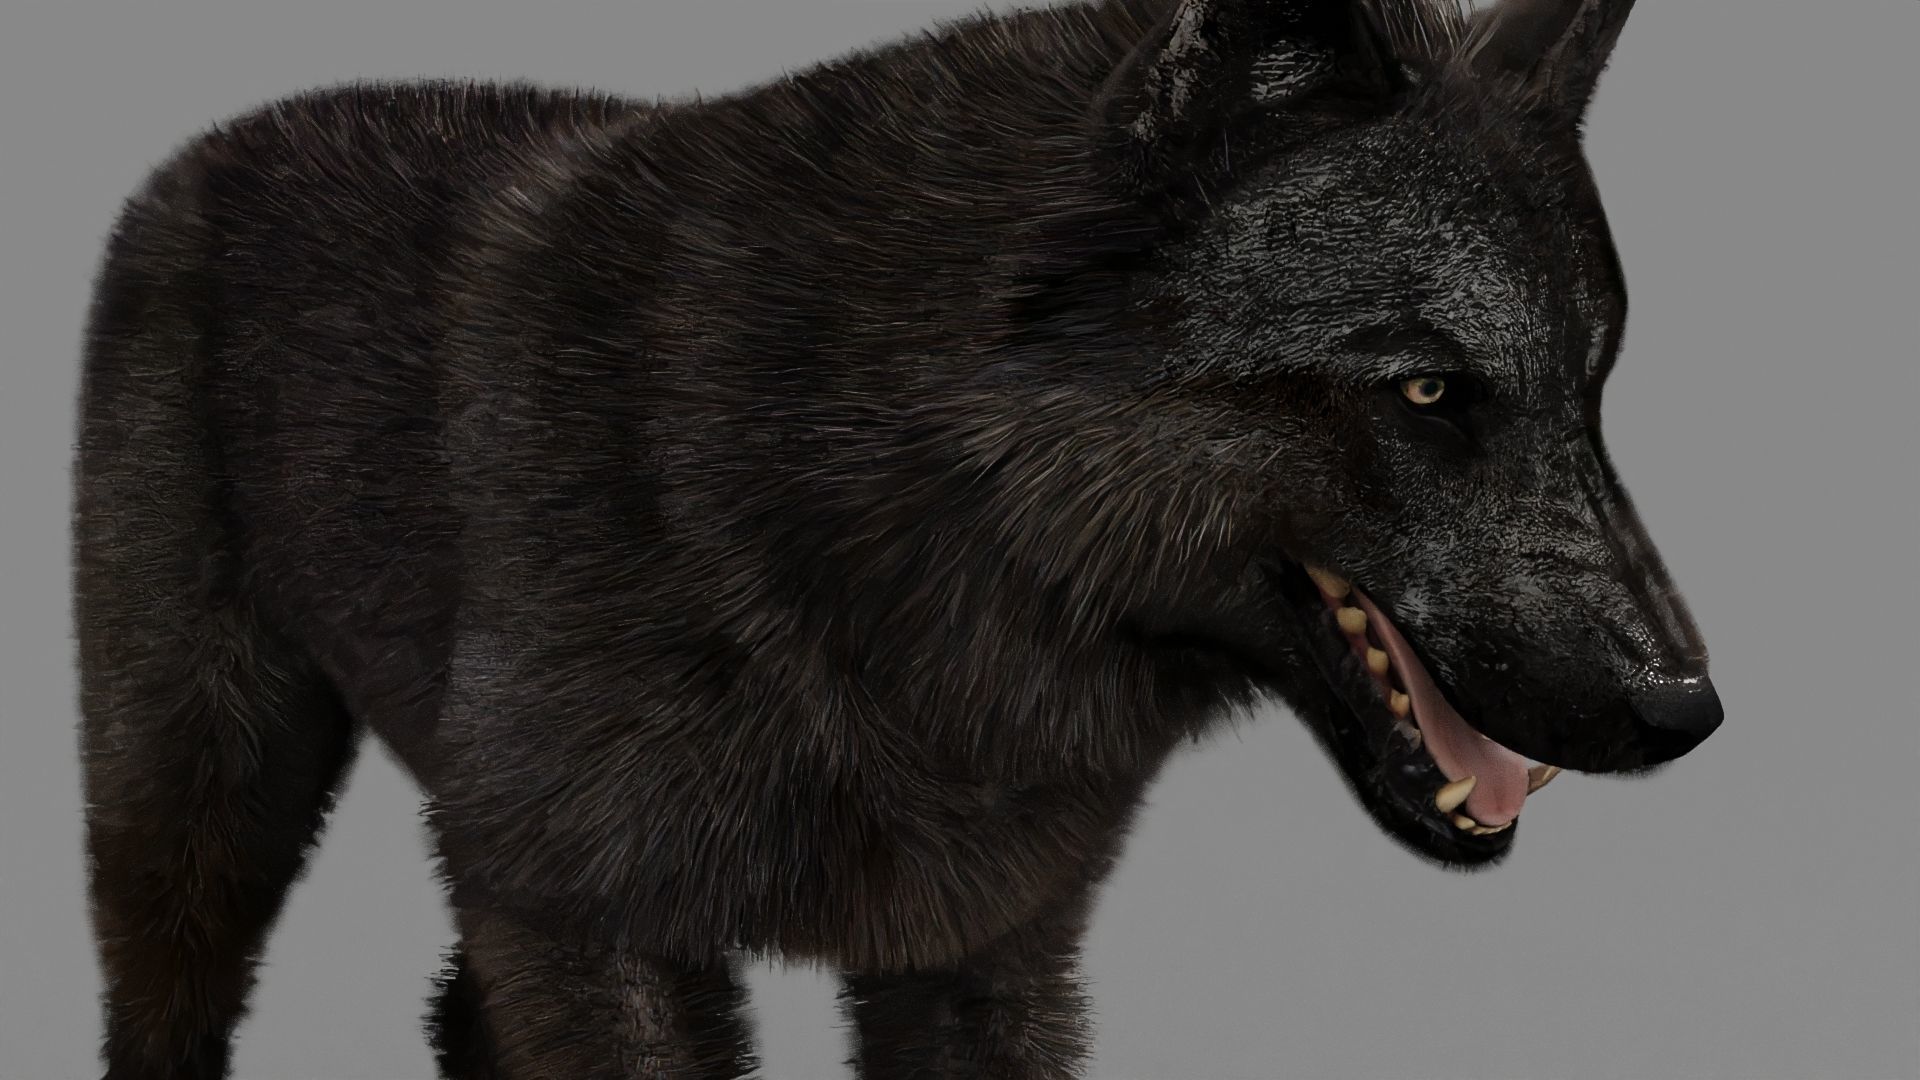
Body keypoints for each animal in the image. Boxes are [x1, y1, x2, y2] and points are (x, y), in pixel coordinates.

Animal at [71, 0, 1721, 1076]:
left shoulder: (979, 956)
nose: (1688, 713)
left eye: (1592, 389)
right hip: (203, 808)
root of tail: (194, 157)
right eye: (1429, 389)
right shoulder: (595, 930)